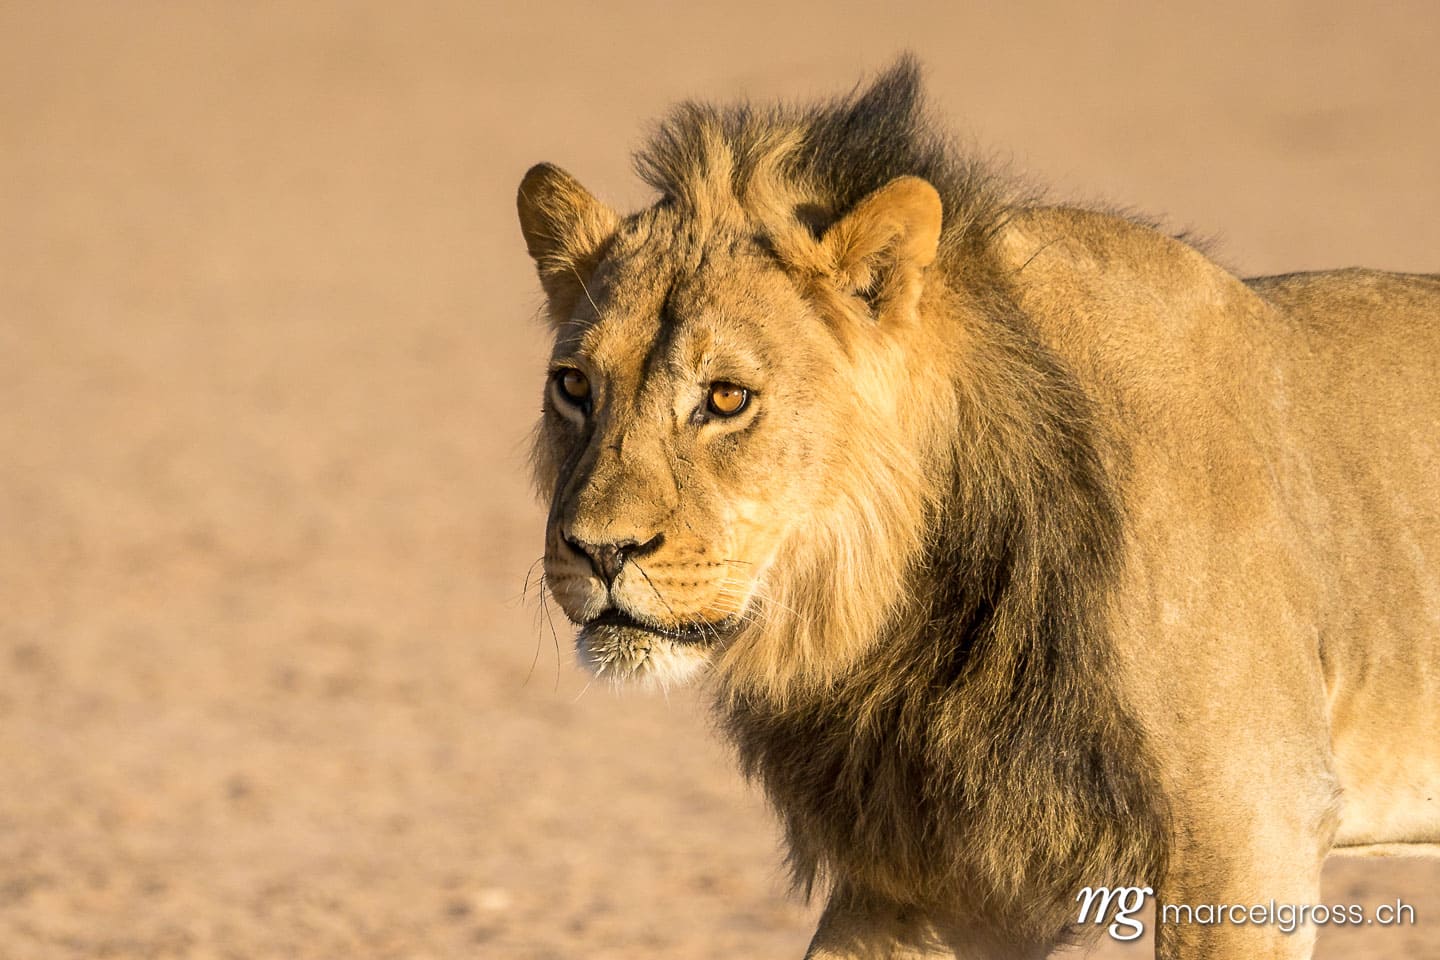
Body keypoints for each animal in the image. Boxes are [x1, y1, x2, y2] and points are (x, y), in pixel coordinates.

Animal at [516, 59, 1440, 959]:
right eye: (575, 388)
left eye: (727, 397)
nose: (599, 551)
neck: (910, 607)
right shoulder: (942, 865)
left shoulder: (1251, 826)